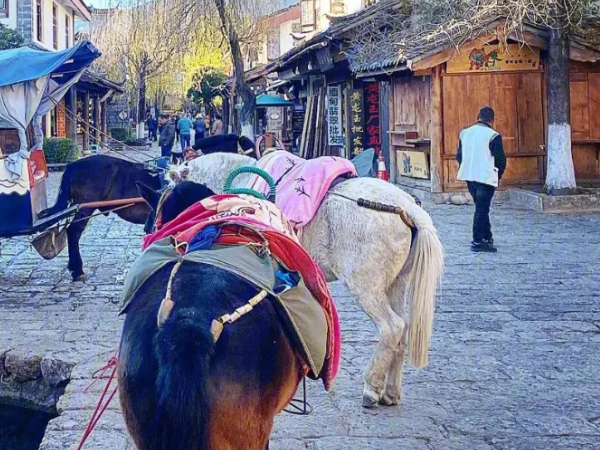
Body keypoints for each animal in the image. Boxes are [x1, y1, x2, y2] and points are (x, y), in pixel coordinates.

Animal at [166, 152, 442, 408]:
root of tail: (407, 207)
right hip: (397, 284)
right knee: (403, 328)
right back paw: (390, 393)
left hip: (367, 288)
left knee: (391, 327)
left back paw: (371, 389)